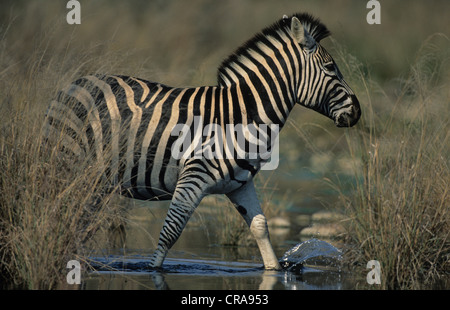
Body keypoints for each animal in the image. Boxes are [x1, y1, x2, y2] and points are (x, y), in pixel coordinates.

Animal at [44, 13, 362, 270]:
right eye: (331, 68)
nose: (357, 112)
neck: (242, 116)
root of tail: (76, 82)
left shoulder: (241, 185)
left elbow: (261, 228)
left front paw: (275, 269)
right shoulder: (193, 178)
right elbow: (171, 231)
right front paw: (152, 270)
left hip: (95, 179)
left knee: (79, 216)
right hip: (69, 163)